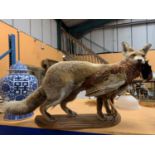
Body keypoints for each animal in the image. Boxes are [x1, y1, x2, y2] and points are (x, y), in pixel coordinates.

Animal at [3, 42, 153, 121]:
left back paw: (70, 114)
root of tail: (47, 74)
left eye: (142, 55)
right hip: (60, 95)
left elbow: (108, 108)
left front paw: (111, 115)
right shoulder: (101, 93)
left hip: (70, 95)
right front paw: (103, 118)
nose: (141, 60)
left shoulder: (107, 95)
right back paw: (49, 118)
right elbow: (101, 109)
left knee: (62, 105)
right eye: (133, 55)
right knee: (42, 107)